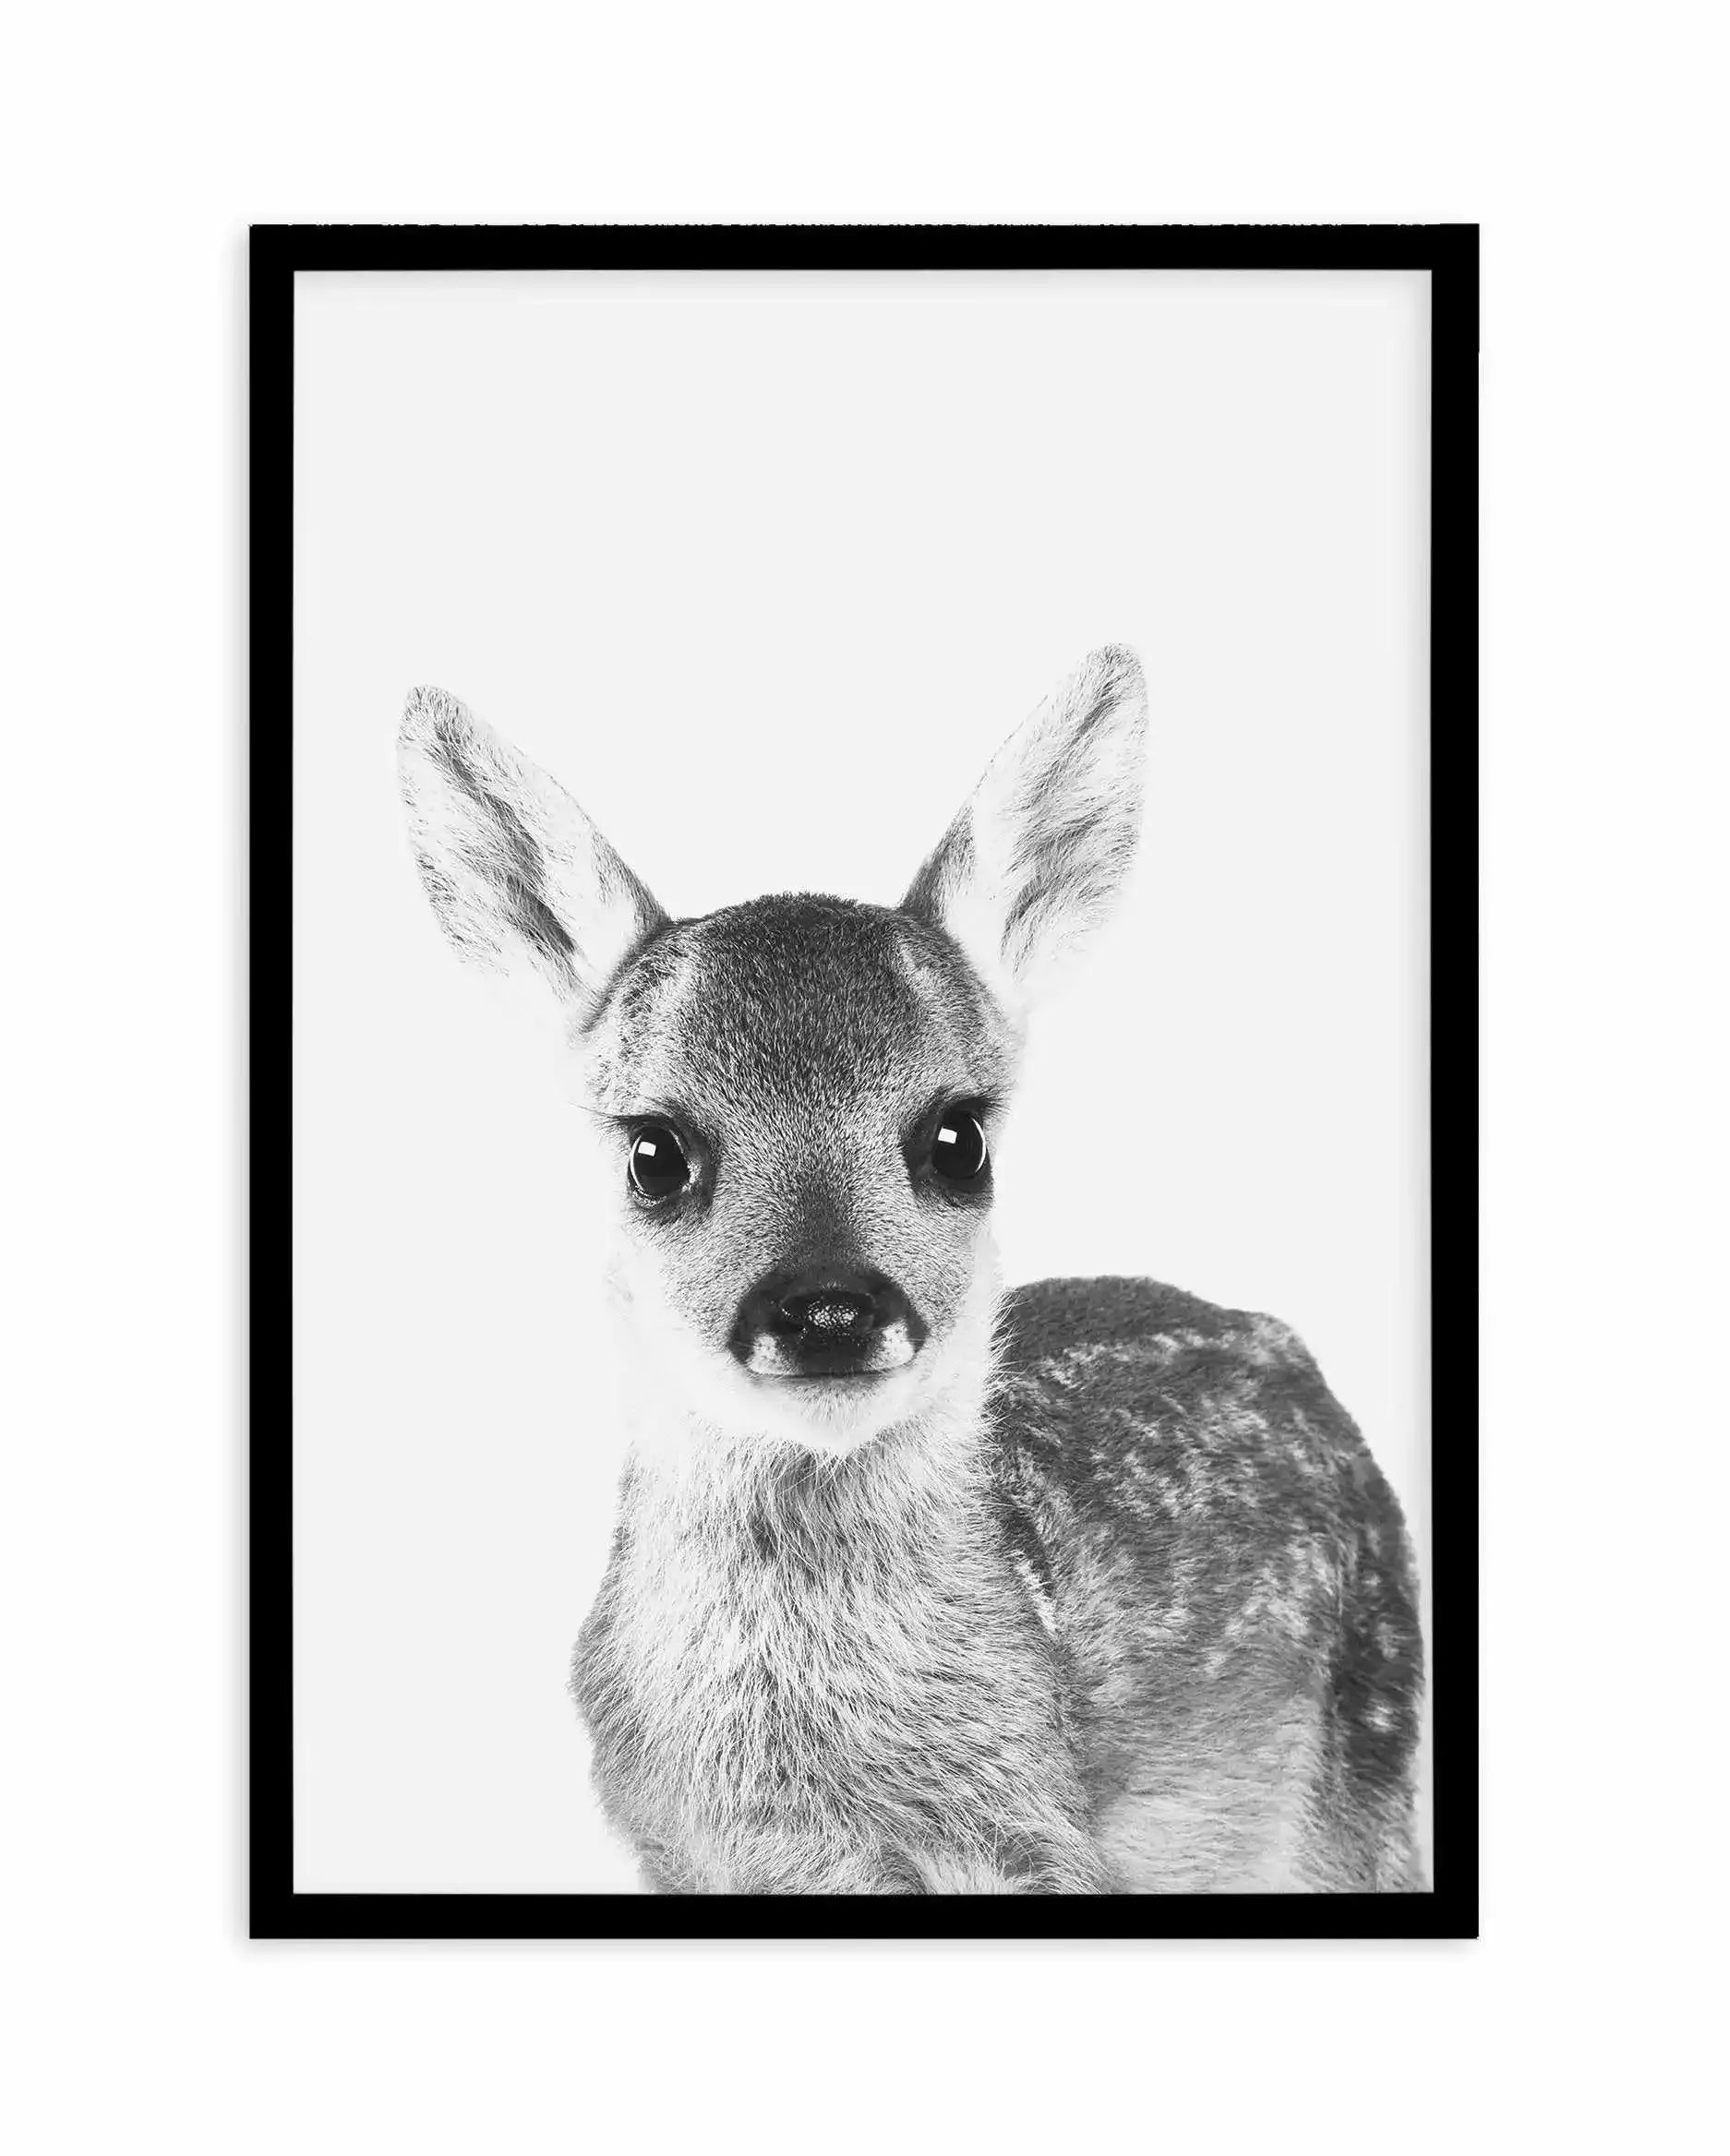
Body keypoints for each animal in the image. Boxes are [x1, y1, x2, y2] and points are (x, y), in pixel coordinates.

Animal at [397, 646, 1426, 1895]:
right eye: (653, 1151)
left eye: (958, 1137)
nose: (828, 1307)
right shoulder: (668, 1847)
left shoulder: (1038, 1835)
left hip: (1371, 1758)